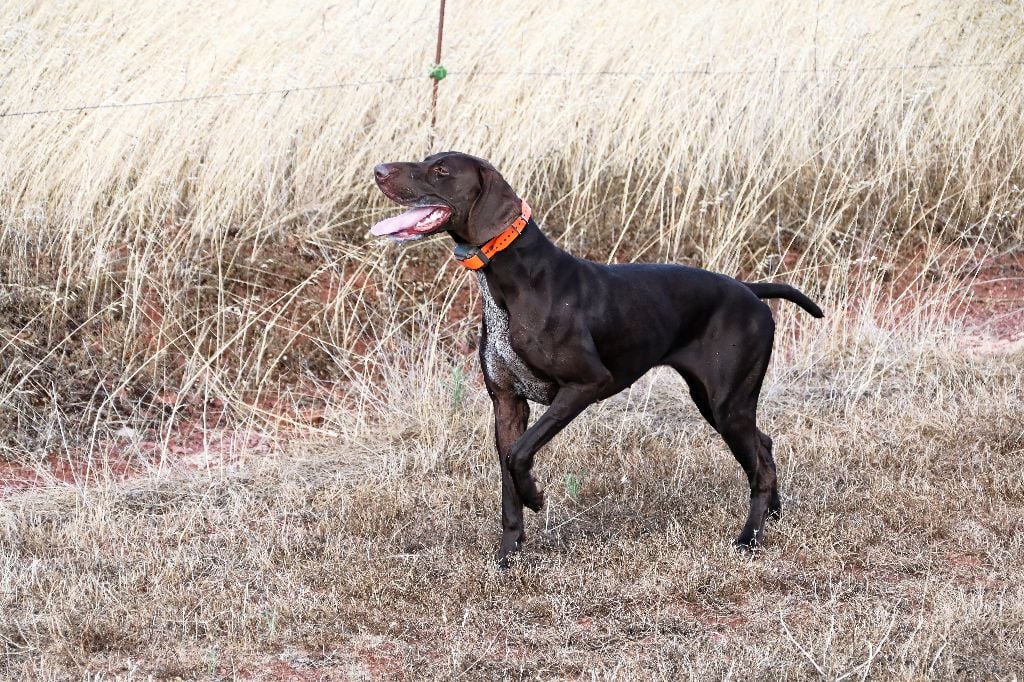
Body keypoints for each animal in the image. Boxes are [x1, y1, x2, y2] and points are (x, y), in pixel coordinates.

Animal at [372, 153, 819, 561]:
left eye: (441, 170)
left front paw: (535, 496)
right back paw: (773, 515)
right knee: (764, 446)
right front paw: (509, 555)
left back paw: (750, 538)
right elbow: (507, 480)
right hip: (715, 402)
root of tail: (749, 290)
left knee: (759, 468)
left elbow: (520, 456)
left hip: (727, 405)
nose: (378, 170)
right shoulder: (507, 403)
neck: (512, 283)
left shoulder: (586, 384)